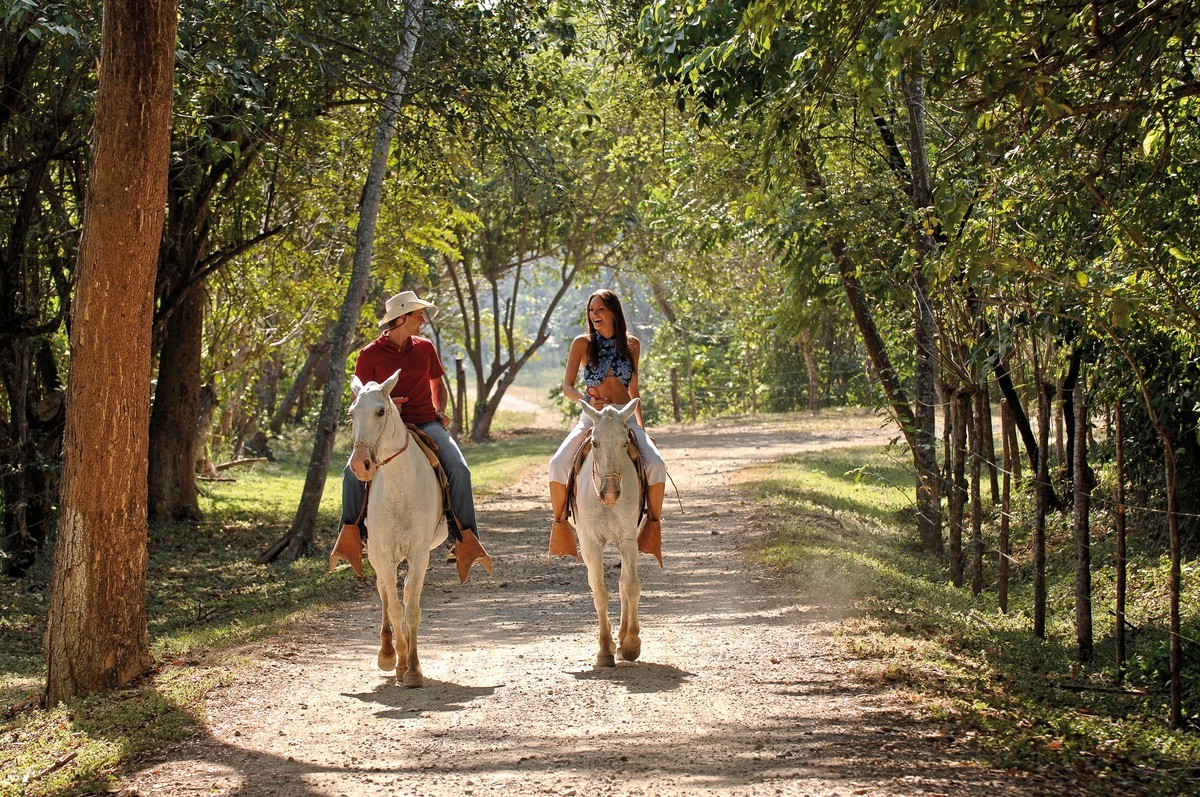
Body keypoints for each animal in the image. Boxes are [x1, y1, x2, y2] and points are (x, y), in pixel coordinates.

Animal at [350, 369, 448, 686]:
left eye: (381, 411)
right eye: (351, 414)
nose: (360, 464)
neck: (400, 487)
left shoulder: (419, 554)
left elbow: (412, 607)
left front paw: (414, 669)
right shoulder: (383, 554)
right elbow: (394, 607)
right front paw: (400, 661)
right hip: (377, 555)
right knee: (383, 591)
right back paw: (387, 653)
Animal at [573, 398, 648, 667]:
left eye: (625, 442)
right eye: (594, 442)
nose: (610, 493)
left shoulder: (628, 540)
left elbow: (631, 586)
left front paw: (631, 644)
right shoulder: (591, 544)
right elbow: (599, 592)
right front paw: (605, 649)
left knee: (624, 582)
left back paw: (624, 637)